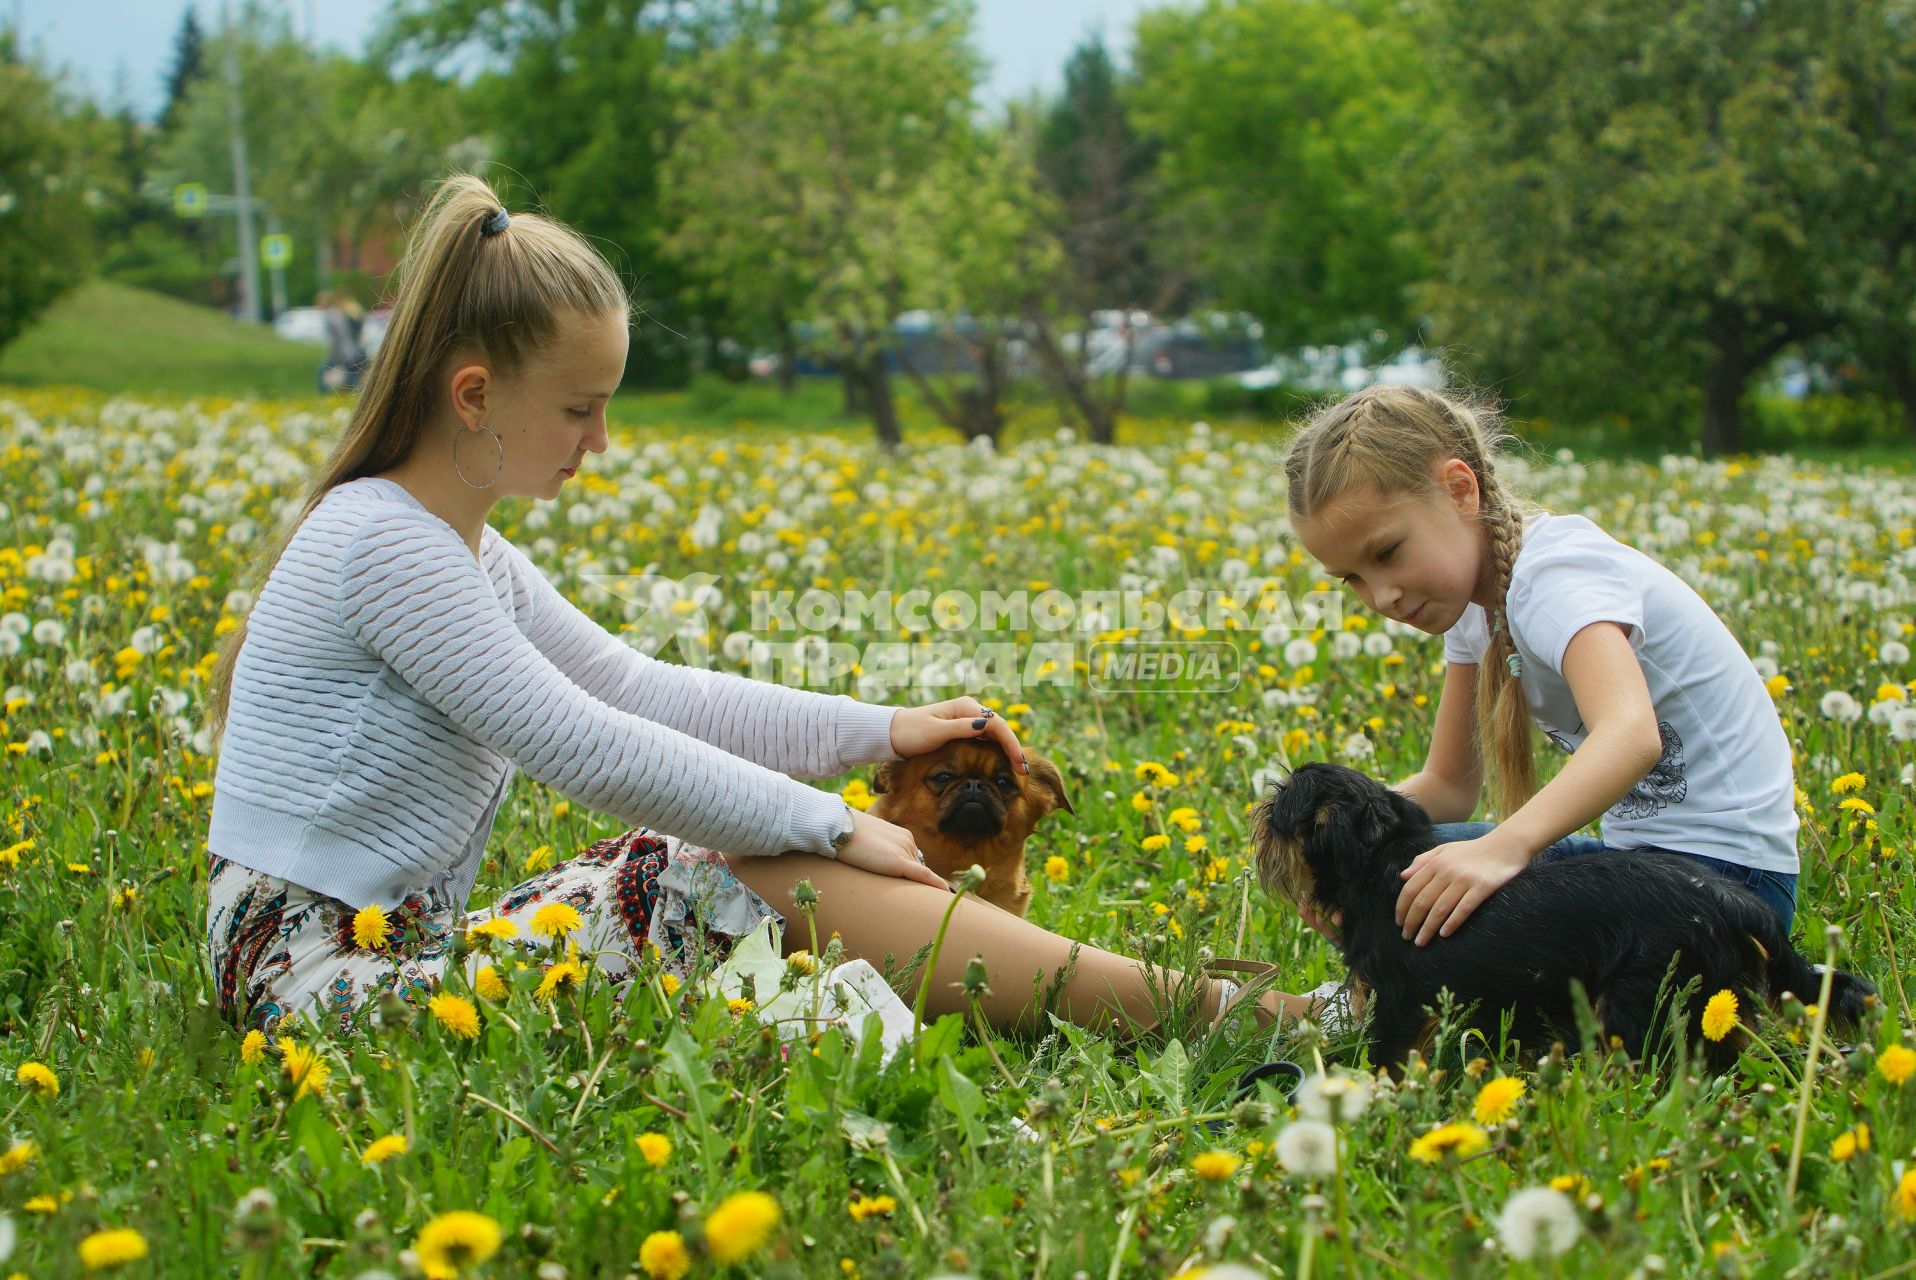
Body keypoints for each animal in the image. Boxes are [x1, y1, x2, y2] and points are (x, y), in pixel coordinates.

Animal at [1249, 766, 1877, 1073]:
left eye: (1281, 802)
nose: (1258, 808)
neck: (1380, 856)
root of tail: (1736, 902)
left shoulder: (1402, 1003)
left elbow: (1388, 1059)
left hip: (1641, 1005)